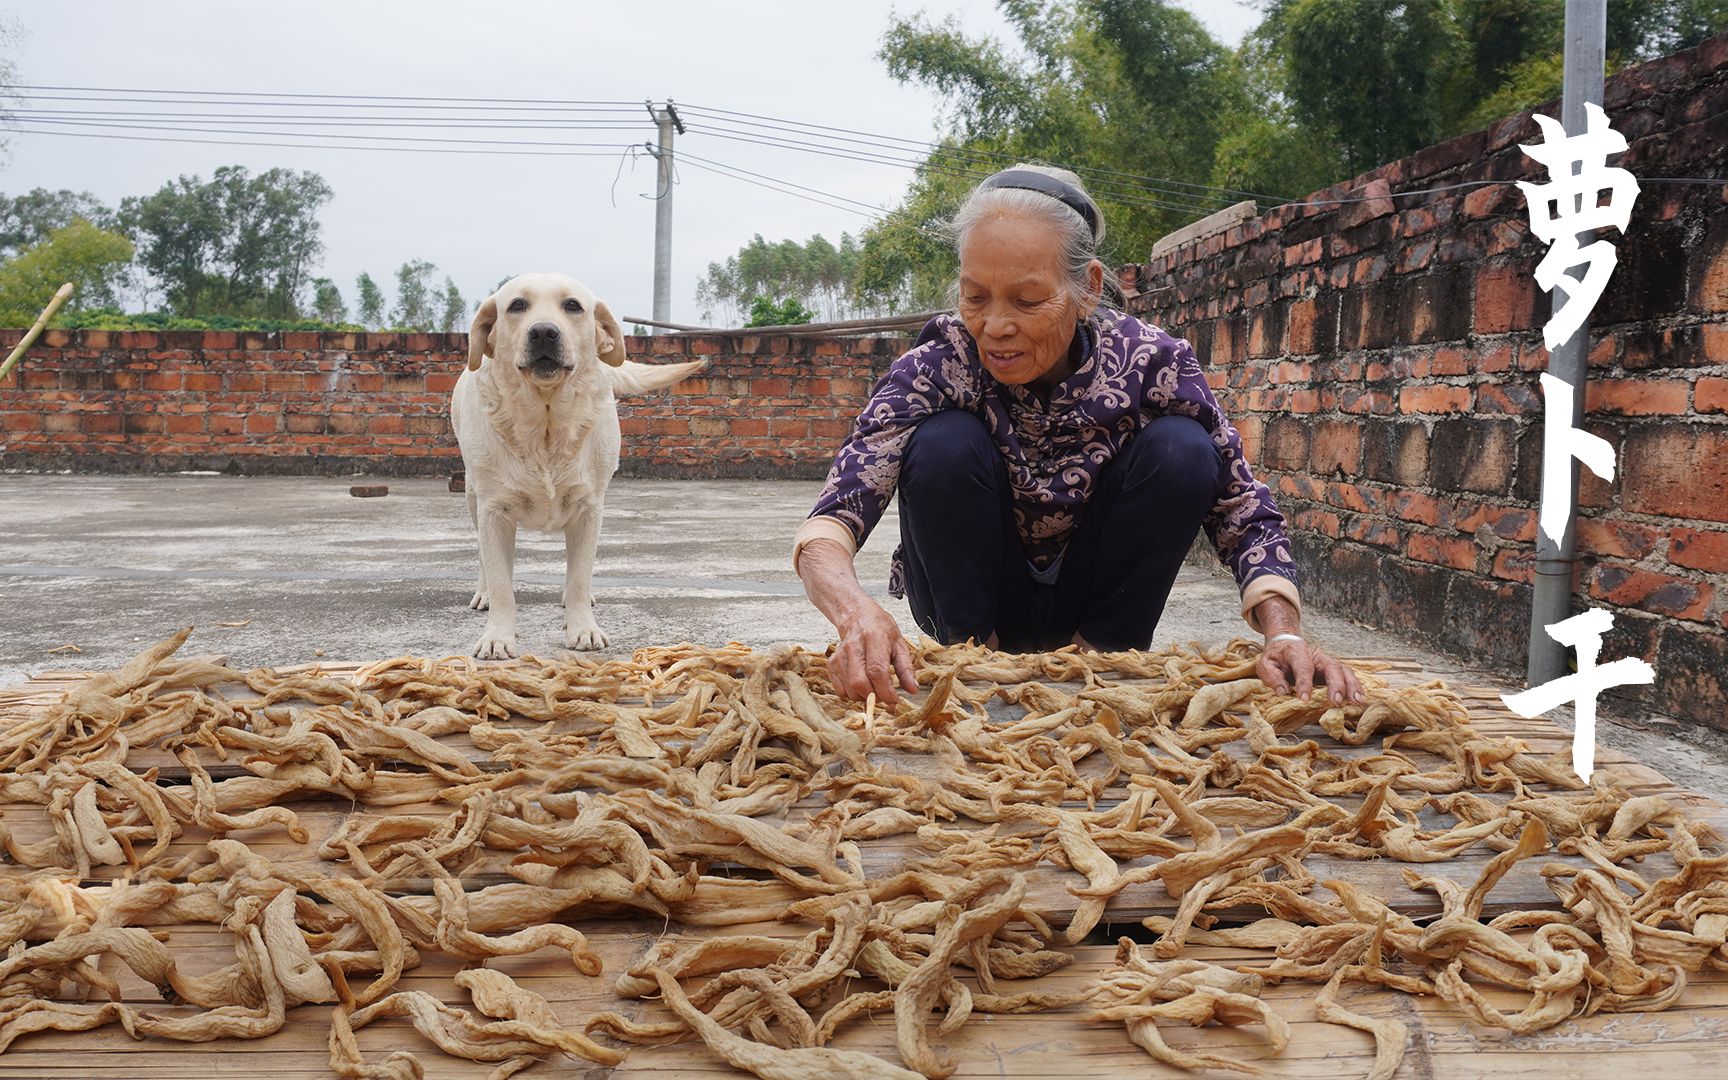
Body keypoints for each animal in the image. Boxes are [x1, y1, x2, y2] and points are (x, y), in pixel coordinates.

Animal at [459, 271, 708, 656]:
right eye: (517, 305)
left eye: (572, 306)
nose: (543, 332)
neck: (546, 427)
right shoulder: (493, 510)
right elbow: (502, 582)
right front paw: (498, 636)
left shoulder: (589, 509)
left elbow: (579, 576)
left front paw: (582, 629)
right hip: (473, 497)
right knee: (486, 561)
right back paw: (483, 593)